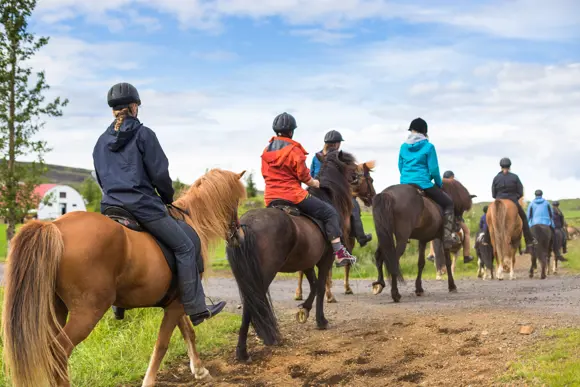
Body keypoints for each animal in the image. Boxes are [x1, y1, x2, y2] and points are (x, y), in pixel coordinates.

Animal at [225, 150, 358, 362]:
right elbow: (321, 287)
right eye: (350, 164)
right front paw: (321, 320)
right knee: (251, 304)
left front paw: (304, 309)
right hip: (263, 276)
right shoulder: (325, 260)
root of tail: (244, 226)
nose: (357, 176)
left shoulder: (307, 262)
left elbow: (314, 285)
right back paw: (244, 351)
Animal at [294, 161, 376, 304]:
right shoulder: (348, 241)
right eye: (370, 180)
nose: (373, 196)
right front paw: (346, 289)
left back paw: (299, 293)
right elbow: (346, 263)